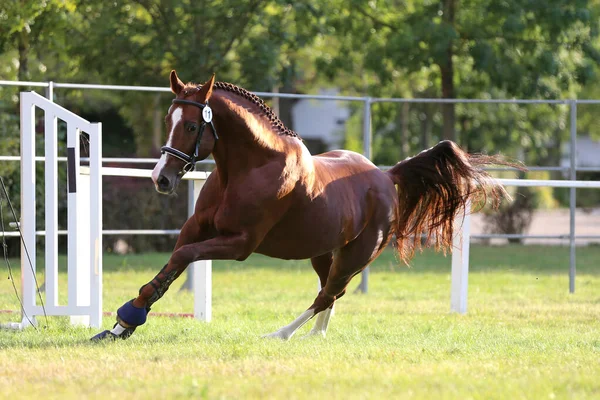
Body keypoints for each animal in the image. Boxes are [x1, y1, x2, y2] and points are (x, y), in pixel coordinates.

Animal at [91, 71, 508, 340]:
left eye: (193, 126)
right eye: (168, 119)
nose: (161, 178)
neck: (248, 168)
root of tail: (386, 177)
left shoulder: (240, 244)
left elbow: (181, 258)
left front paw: (128, 317)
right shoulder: (197, 228)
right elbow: (174, 262)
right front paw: (123, 323)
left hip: (356, 255)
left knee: (328, 293)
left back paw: (281, 334)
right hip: (323, 252)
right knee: (331, 293)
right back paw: (314, 337)